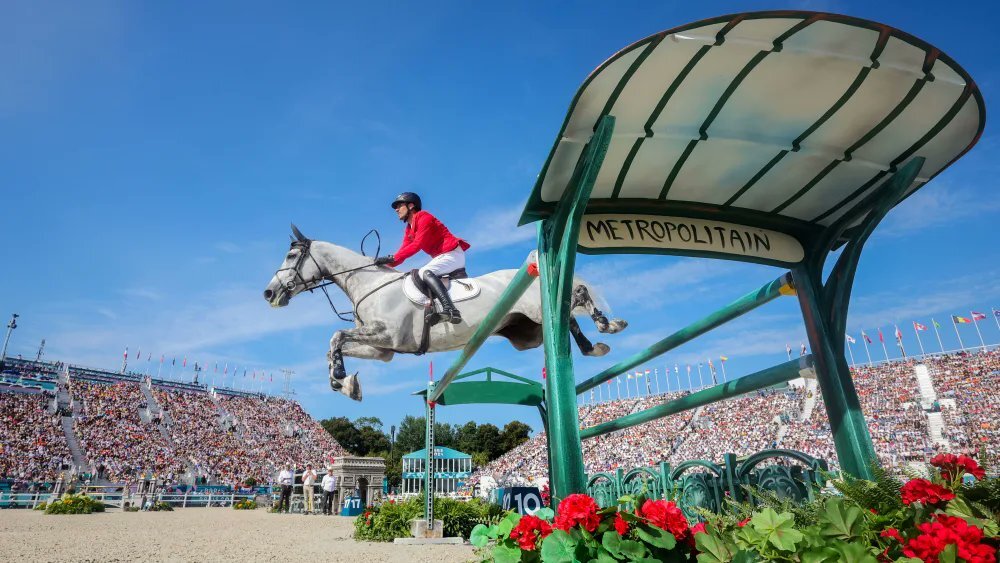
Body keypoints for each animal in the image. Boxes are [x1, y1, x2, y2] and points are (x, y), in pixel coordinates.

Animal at [264, 225, 624, 400]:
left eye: (291, 256)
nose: (269, 293)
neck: (369, 283)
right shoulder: (381, 350)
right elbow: (334, 344)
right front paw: (344, 383)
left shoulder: (386, 335)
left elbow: (336, 336)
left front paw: (341, 377)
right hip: (527, 333)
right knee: (567, 317)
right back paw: (594, 345)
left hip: (535, 307)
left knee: (575, 296)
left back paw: (607, 325)